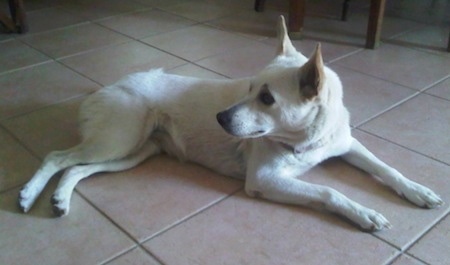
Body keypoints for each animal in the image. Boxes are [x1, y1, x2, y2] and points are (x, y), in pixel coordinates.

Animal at [18, 16, 442, 230]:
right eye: (249, 86)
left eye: (267, 98)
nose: (220, 118)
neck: (305, 141)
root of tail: (106, 86)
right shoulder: (265, 180)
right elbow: (327, 191)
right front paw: (363, 212)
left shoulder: (347, 145)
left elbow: (385, 168)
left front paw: (418, 190)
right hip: (118, 139)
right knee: (58, 157)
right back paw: (28, 194)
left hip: (132, 153)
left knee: (76, 169)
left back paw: (59, 198)